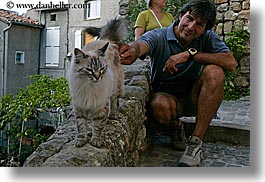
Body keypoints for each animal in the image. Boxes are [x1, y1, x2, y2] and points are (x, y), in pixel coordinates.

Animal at [67, 17, 126, 148]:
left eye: (102, 69)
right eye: (89, 70)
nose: (98, 77)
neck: (89, 86)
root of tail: (107, 40)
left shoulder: (100, 107)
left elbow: (98, 127)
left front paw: (95, 141)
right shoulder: (80, 106)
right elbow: (81, 127)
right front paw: (81, 141)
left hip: (115, 87)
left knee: (114, 101)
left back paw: (113, 115)